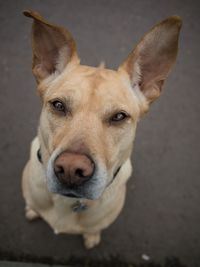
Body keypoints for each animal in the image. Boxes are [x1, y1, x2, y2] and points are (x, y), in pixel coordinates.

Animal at [21, 9, 181, 249]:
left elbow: (94, 229)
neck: (67, 203)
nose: (71, 170)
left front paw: (91, 237)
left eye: (119, 116)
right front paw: (32, 210)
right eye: (58, 105)